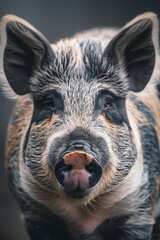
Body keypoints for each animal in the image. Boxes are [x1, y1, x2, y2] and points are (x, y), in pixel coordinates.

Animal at [0, 12, 160, 240]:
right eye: (49, 103)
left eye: (108, 102)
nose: (77, 151)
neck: (84, 216)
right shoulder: (34, 213)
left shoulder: (139, 211)